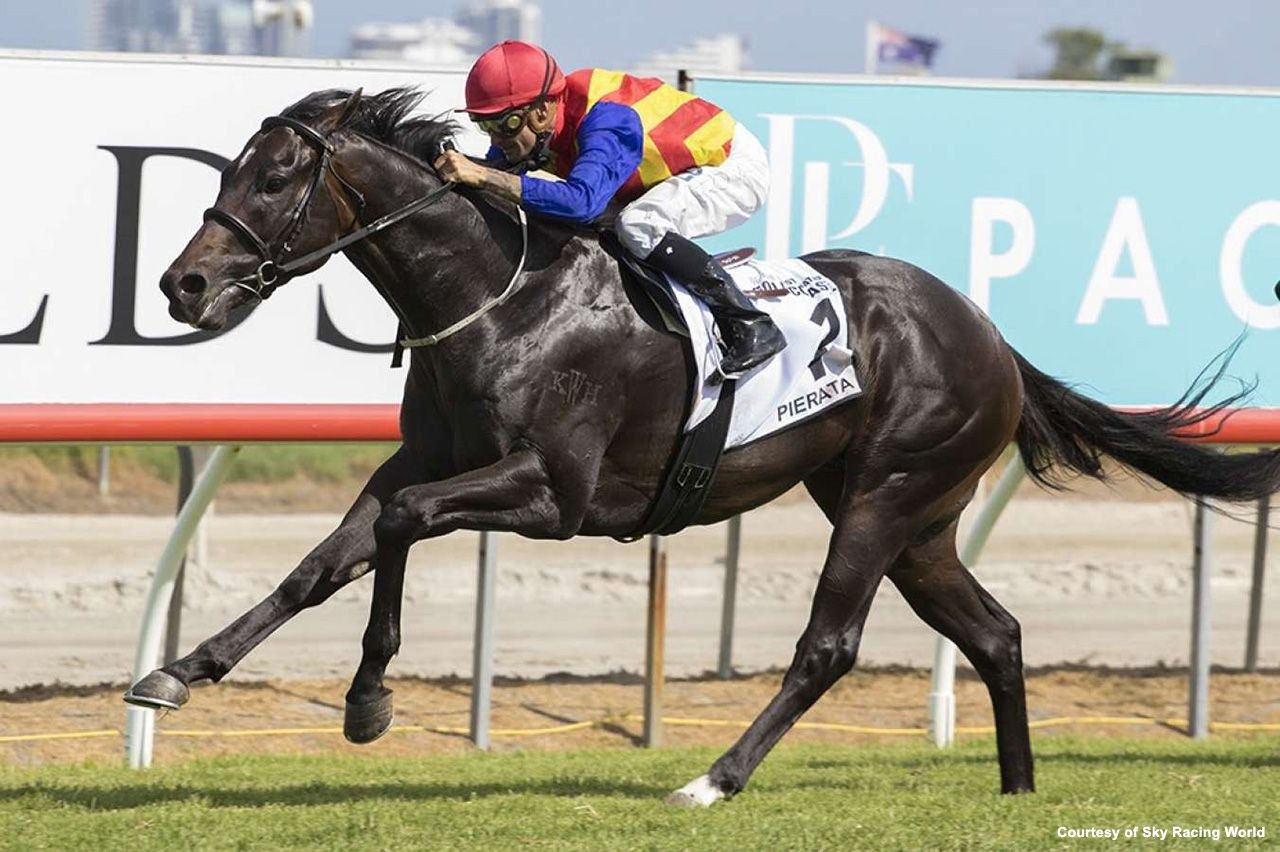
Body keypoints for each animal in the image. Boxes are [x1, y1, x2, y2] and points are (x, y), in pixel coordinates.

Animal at [129, 87, 1280, 805]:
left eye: (275, 177)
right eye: (232, 168)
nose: (183, 284)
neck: (498, 296)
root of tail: (990, 337)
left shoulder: (553, 495)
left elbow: (404, 529)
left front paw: (369, 700)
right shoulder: (419, 461)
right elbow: (327, 562)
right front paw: (180, 671)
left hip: (885, 495)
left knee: (828, 646)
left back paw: (712, 780)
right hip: (916, 519)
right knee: (994, 633)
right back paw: (1016, 787)